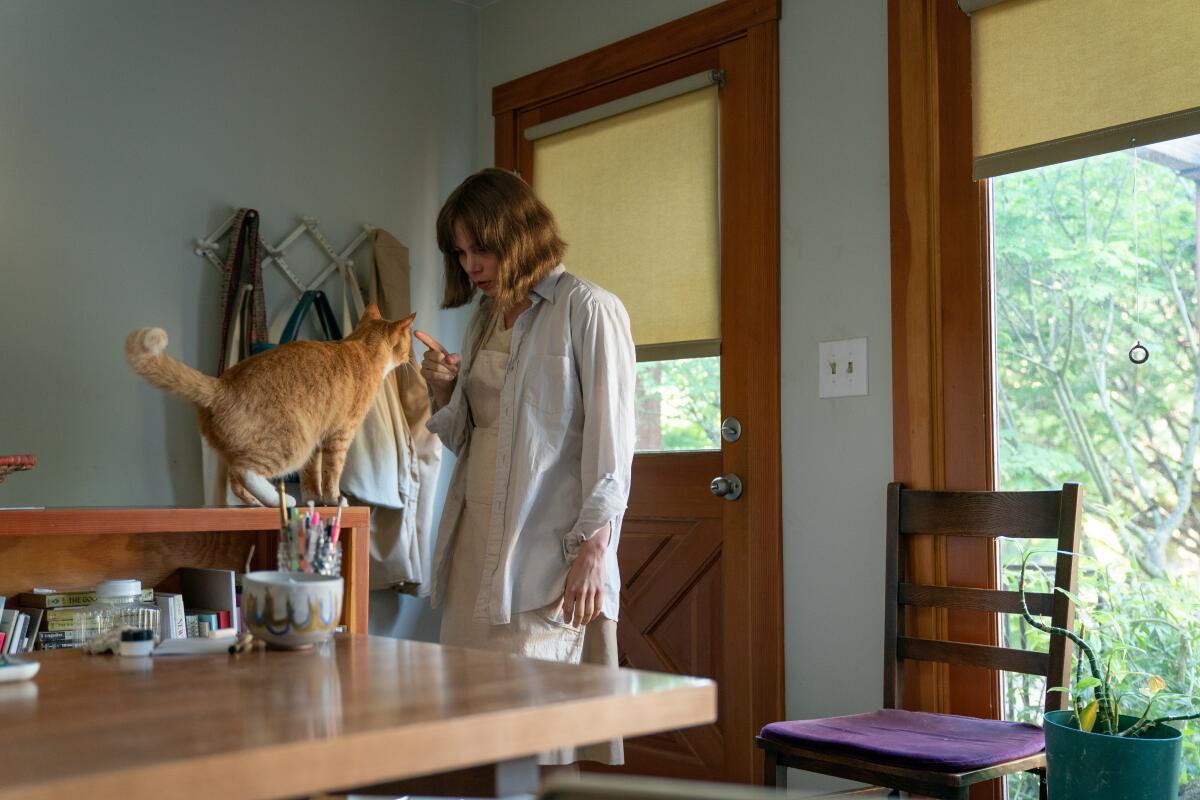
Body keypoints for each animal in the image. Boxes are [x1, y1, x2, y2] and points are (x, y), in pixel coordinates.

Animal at [125, 307, 417, 506]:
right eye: (409, 342)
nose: (410, 358)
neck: (361, 346)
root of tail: (220, 387)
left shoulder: (317, 439)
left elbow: (311, 476)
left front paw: (314, 499)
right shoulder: (340, 434)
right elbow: (332, 473)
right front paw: (334, 499)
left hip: (268, 446)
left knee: (236, 481)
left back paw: (257, 504)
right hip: (293, 444)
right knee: (246, 473)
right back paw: (280, 501)